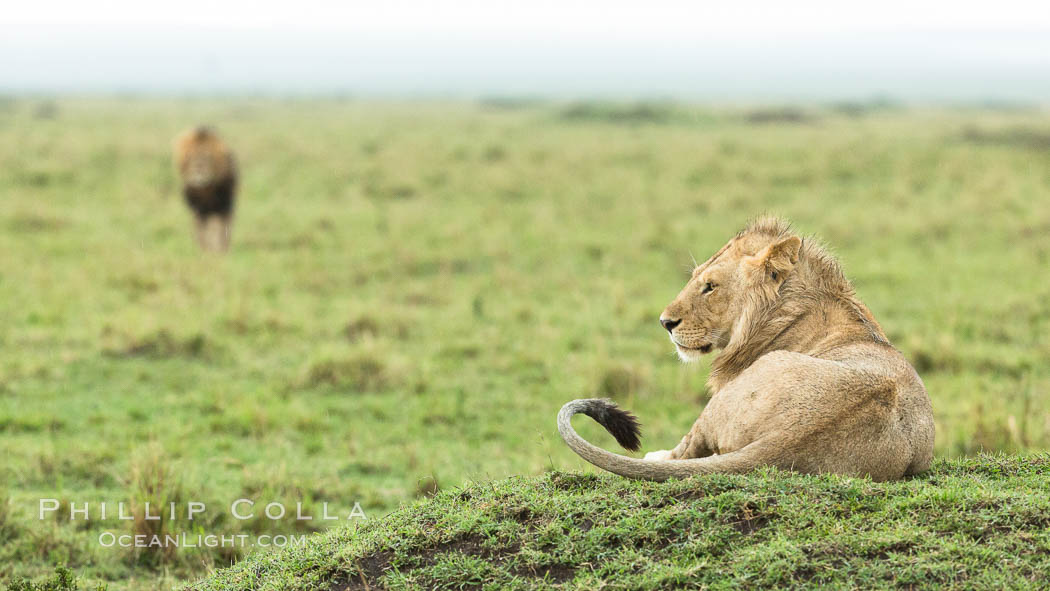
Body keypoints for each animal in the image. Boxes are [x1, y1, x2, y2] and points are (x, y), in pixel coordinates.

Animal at [558, 217, 936, 480]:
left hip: (726, 398)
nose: (665, 322)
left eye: (710, 286)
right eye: (695, 278)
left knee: (688, 449)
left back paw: (657, 457)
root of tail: (788, 435)